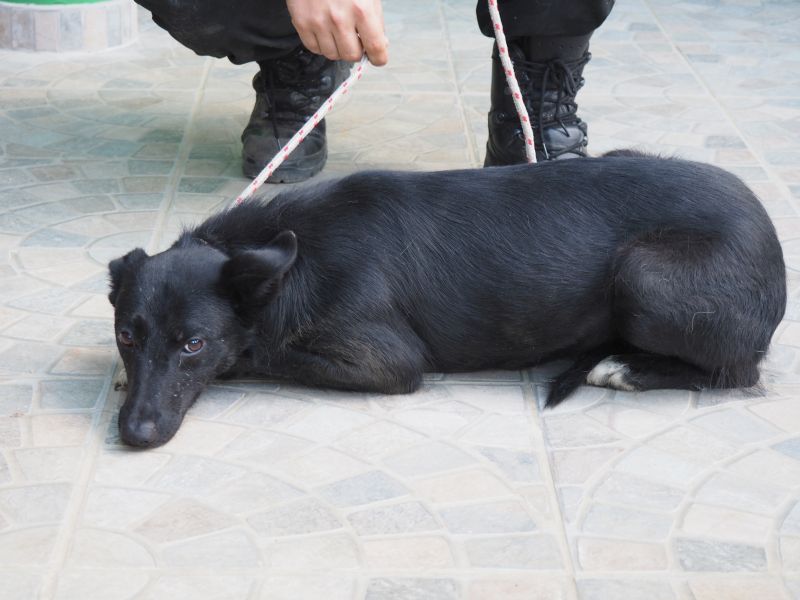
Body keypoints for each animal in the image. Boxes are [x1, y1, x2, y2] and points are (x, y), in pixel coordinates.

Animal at [109, 152, 784, 448]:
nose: (135, 434)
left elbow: (265, 353)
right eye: (126, 336)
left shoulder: (387, 362)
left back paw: (626, 368)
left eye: (195, 344)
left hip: (643, 277)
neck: (292, 262)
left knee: (739, 372)